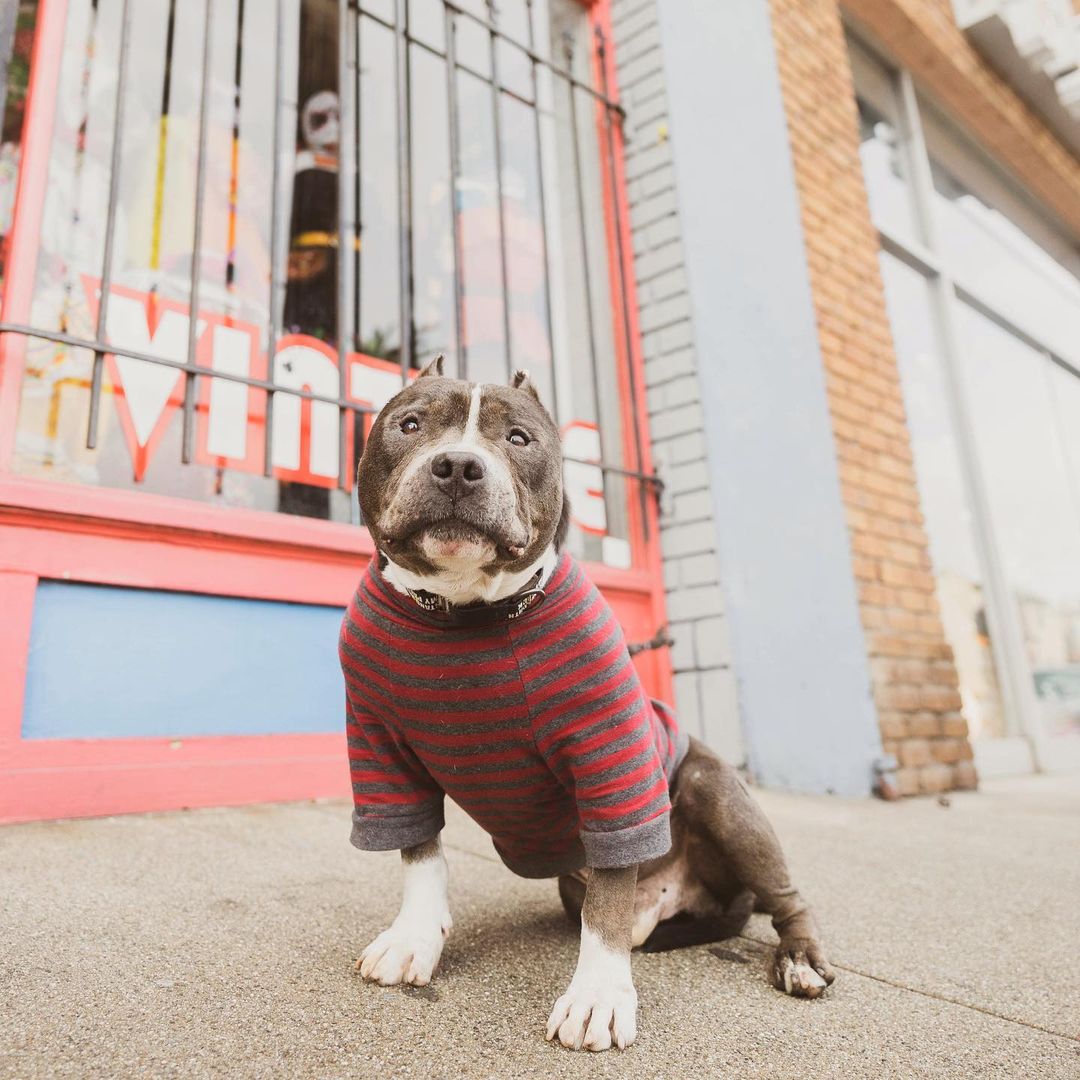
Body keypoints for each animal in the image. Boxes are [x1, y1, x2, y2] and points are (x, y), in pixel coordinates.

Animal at [339, 358, 833, 1049]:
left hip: (716, 792)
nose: (459, 465)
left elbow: (610, 894)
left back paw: (800, 958)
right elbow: (421, 856)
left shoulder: (607, 757)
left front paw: (598, 994)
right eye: (410, 425)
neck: (466, 608)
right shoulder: (380, 747)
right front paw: (414, 938)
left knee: (782, 896)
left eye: (518, 439)